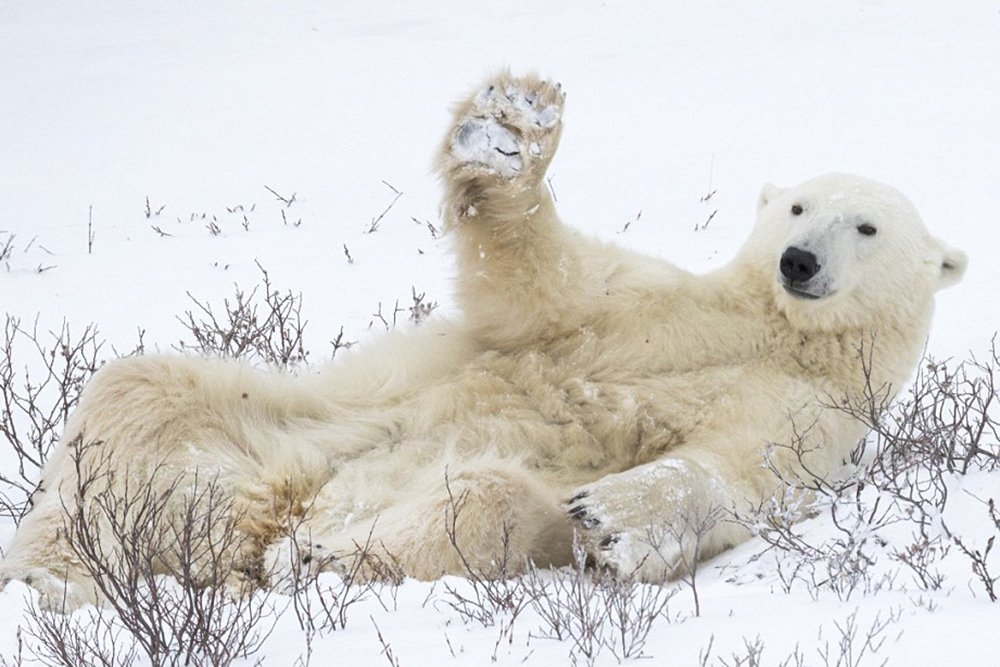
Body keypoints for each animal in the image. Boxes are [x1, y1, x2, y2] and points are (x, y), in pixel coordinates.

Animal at [0, 71, 967, 608]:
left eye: (867, 226)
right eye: (798, 206)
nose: (799, 262)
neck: (768, 327)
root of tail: (250, 517)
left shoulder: (815, 414)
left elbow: (736, 472)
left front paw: (612, 514)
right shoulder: (646, 306)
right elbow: (539, 282)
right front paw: (511, 127)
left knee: (487, 503)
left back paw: (310, 551)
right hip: (288, 421)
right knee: (134, 394)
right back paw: (57, 570)